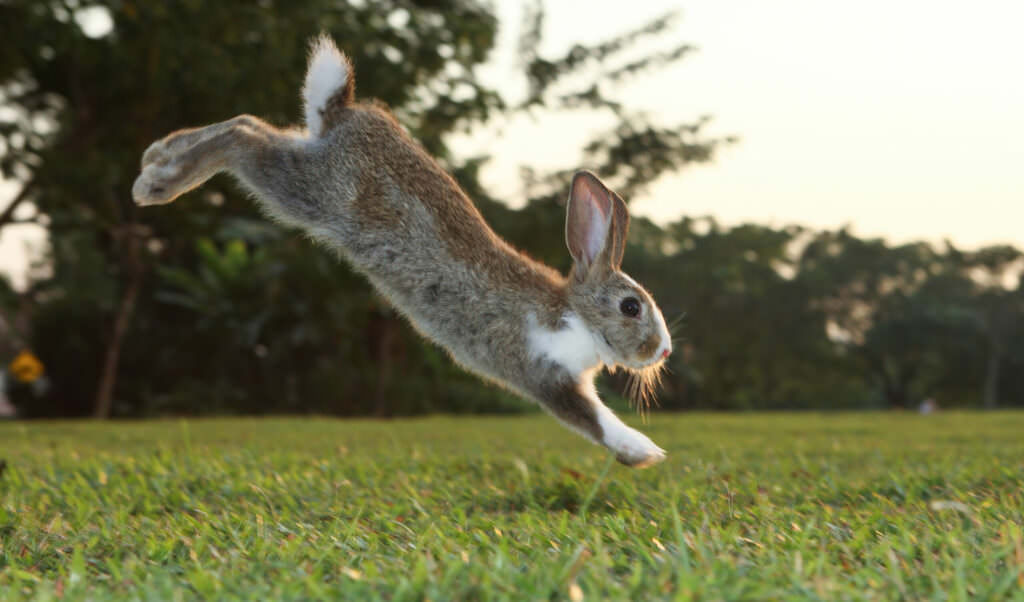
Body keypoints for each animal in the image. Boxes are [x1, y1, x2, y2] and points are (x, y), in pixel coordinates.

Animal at [134, 34, 671, 464]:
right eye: (631, 307)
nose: (663, 350)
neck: (574, 313)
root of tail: (344, 112)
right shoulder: (543, 373)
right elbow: (593, 419)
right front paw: (645, 452)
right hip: (308, 191)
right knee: (242, 136)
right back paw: (156, 182)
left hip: (305, 162)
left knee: (251, 125)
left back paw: (157, 156)